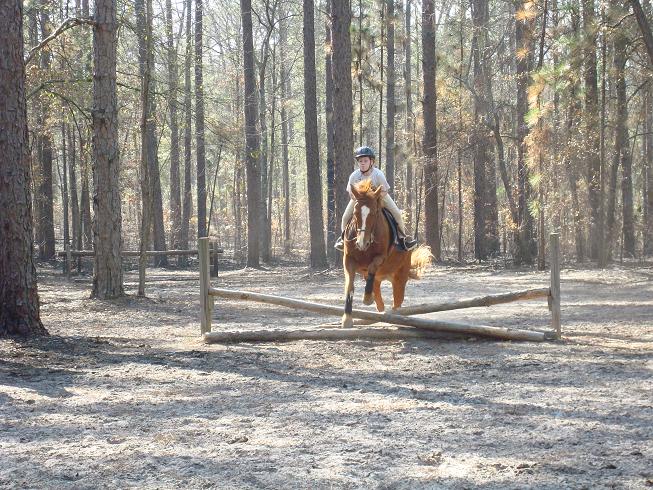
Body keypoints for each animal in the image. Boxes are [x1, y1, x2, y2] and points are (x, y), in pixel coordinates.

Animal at [342, 178, 432, 328]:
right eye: (355, 213)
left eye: (374, 213)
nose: (361, 243)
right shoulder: (349, 260)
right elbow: (350, 286)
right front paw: (347, 319)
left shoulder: (381, 257)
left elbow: (372, 266)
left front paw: (367, 299)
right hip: (379, 280)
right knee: (380, 303)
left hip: (400, 277)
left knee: (397, 302)